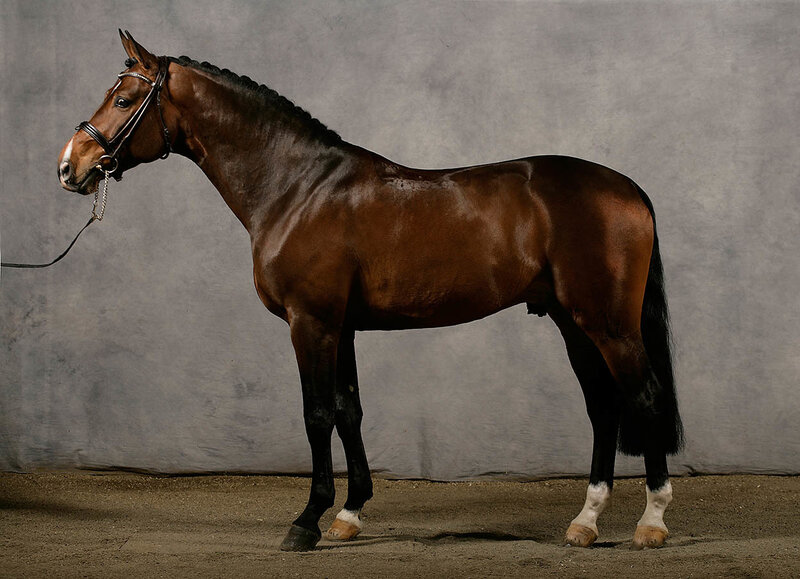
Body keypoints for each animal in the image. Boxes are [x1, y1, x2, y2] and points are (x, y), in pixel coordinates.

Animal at [58, 31, 683, 551]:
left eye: (122, 101)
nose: (70, 167)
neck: (298, 188)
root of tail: (628, 188)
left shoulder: (310, 322)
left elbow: (316, 414)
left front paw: (306, 521)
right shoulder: (343, 327)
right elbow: (348, 410)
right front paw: (348, 515)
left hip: (608, 324)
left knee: (645, 398)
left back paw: (650, 524)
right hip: (572, 321)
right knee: (604, 407)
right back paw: (585, 523)